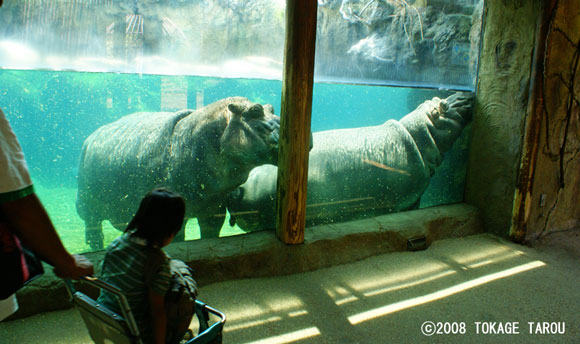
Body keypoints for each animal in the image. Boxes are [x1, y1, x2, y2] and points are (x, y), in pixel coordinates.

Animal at [77, 97, 280, 250]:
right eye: (255, 110)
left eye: (271, 107)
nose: (282, 125)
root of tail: (89, 138)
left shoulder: (214, 210)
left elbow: (210, 234)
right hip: (88, 207)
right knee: (94, 233)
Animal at [224, 91, 474, 231]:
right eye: (442, 106)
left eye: (435, 99)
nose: (466, 93)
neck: (420, 133)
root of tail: (240, 187)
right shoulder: (407, 200)